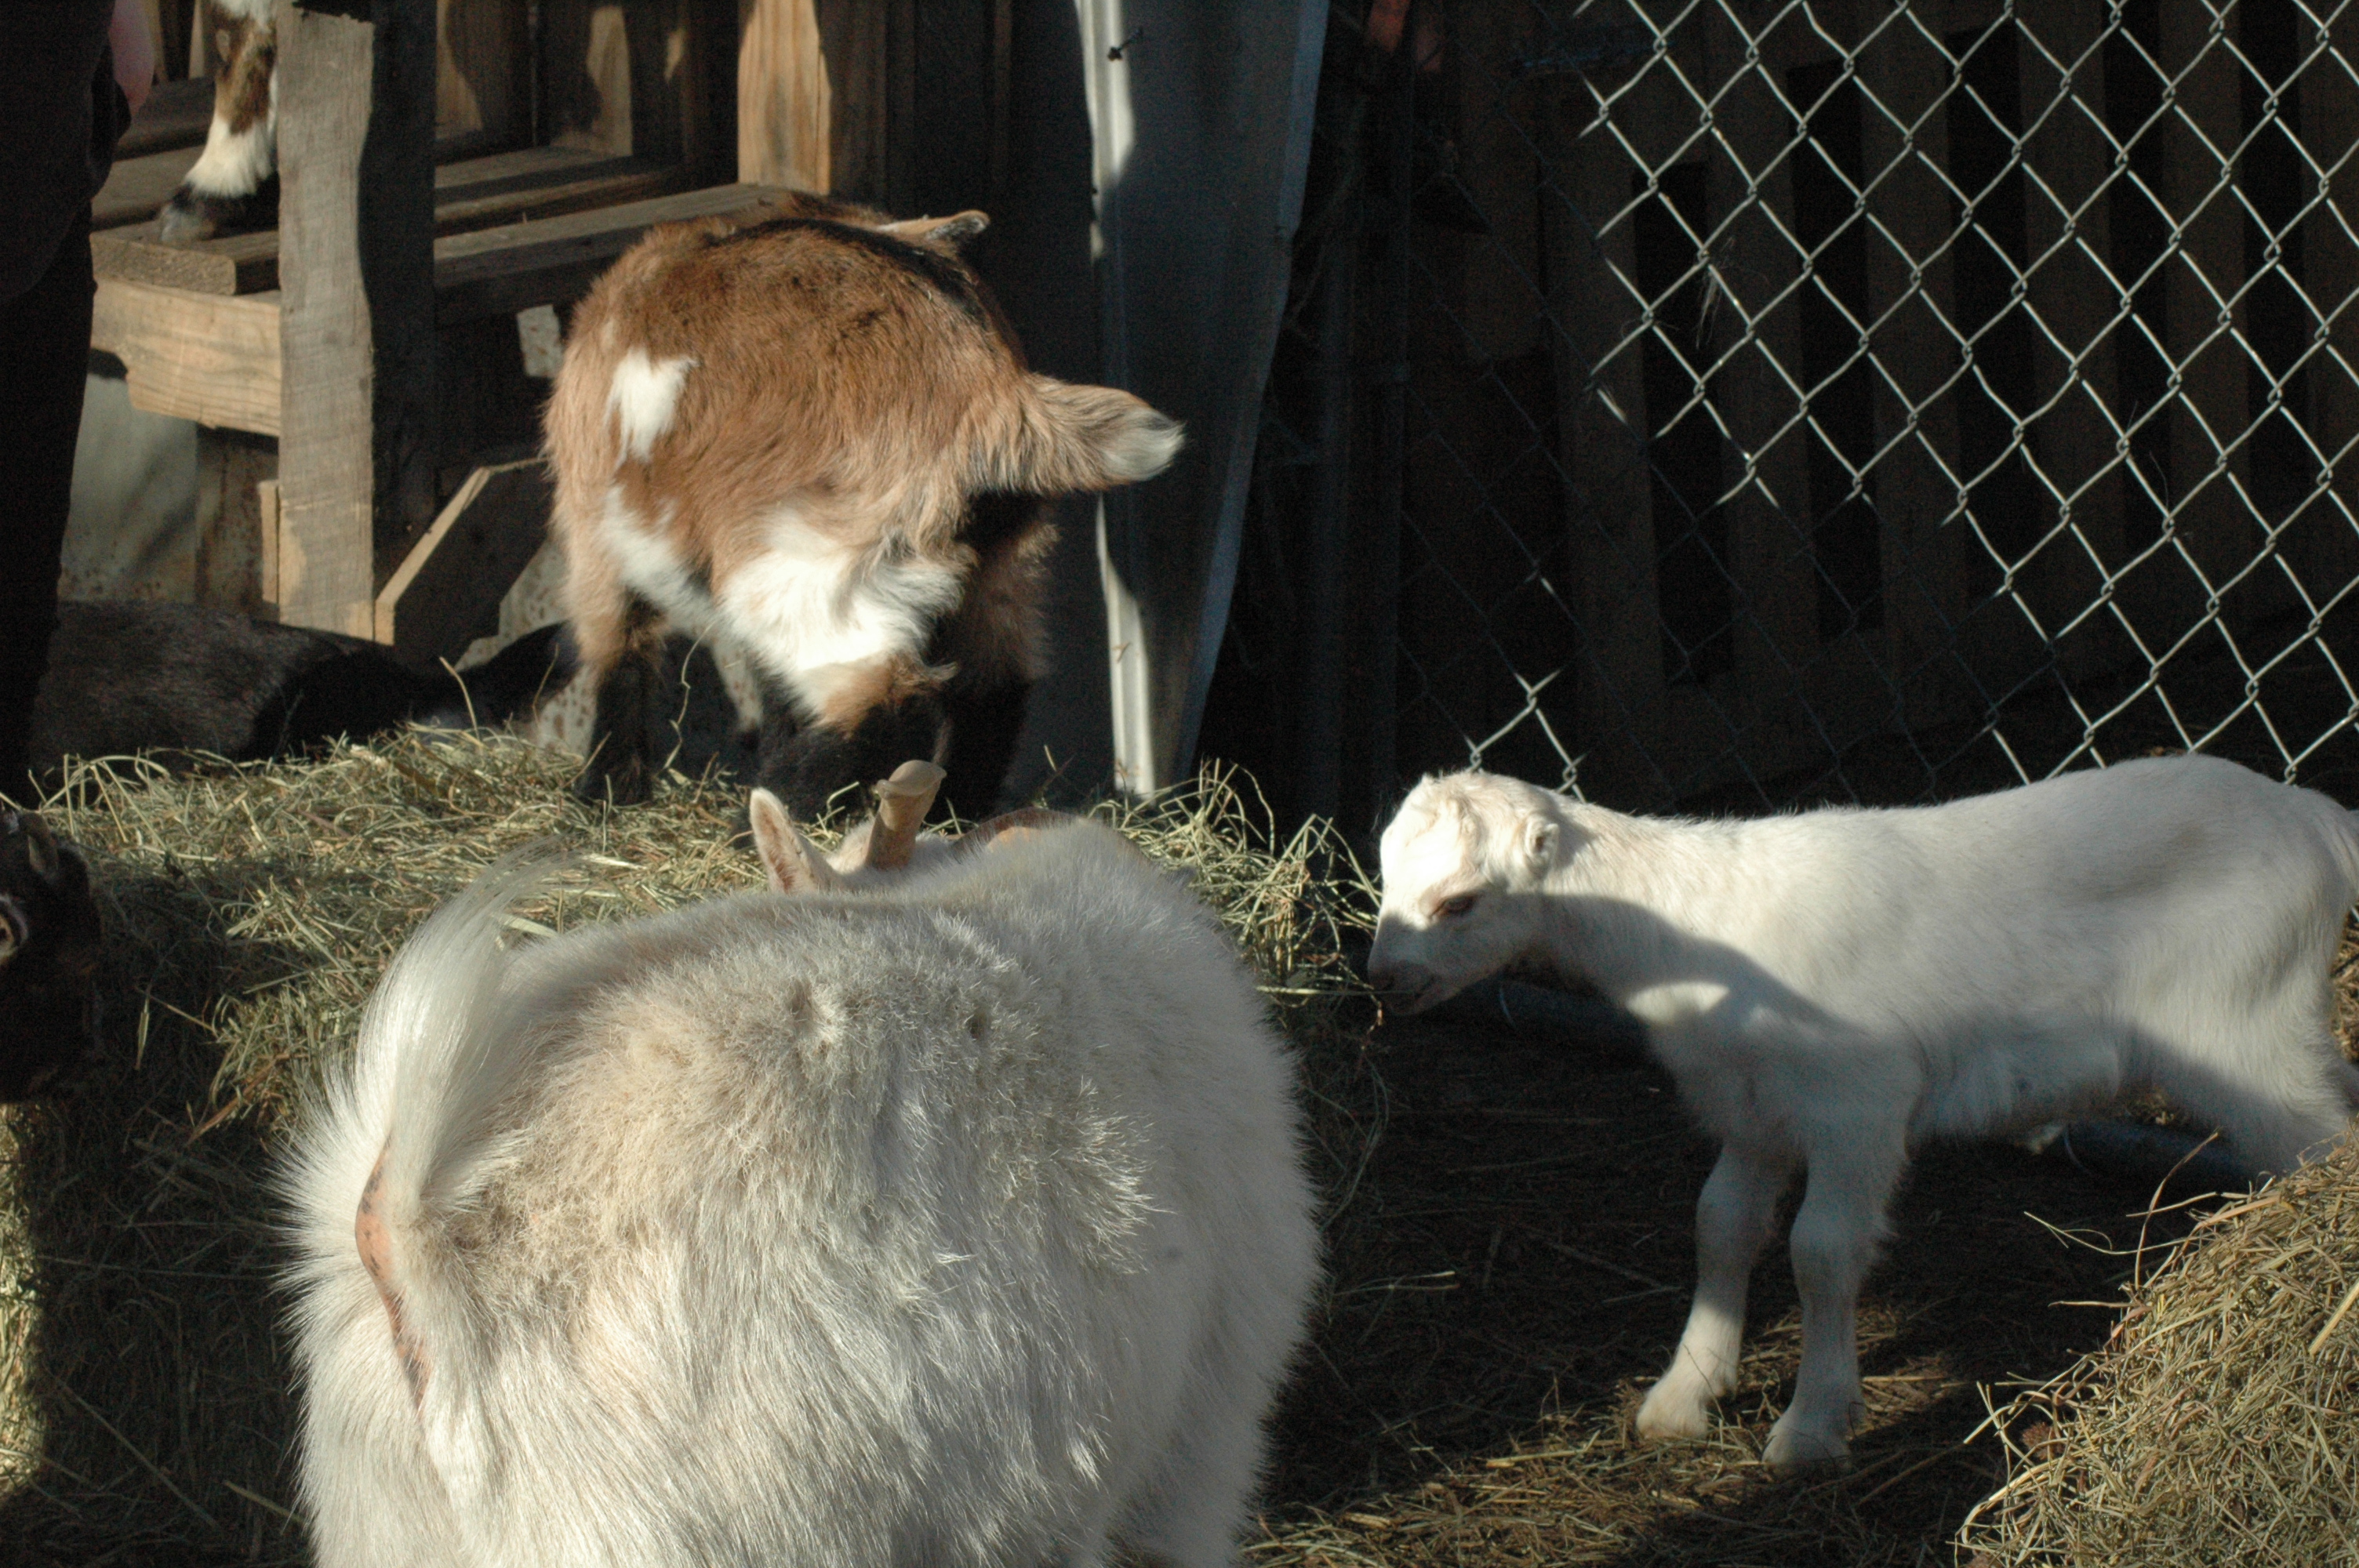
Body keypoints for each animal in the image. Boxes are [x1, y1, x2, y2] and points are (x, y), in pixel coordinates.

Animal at [543, 192, 1181, 818]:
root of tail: (993, 388)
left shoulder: (594, 529)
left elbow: (616, 651)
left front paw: (603, 790)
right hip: (1001, 562)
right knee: (994, 685)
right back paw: (951, 810)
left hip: (811, 562)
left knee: (882, 700)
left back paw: (774, 812)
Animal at [1365, 756, 2359, 1472]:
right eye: (1383, 880)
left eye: (1459, 900)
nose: (1385, 980)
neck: (1698, 924)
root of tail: (2317, 816)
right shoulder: (1752, 1104)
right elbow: (1720, 1224)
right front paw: (1684, 1394)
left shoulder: (1857, 1102)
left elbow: (1819, 1251)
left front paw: (1809, 1427)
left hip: (2244, 1031)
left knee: (2322, 1147)